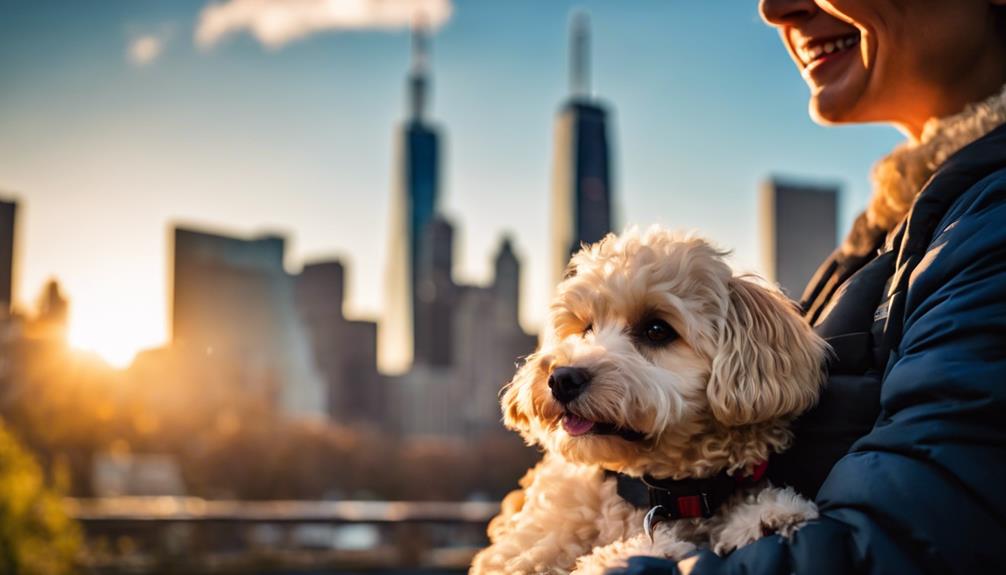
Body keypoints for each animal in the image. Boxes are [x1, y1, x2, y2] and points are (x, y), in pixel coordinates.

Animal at [468, 229, 824, 575]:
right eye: (586, 328)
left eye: (656, 330)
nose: (562, 379)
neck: (662, 494)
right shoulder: (513, 557)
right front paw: (647, 548)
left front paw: (770, 513)